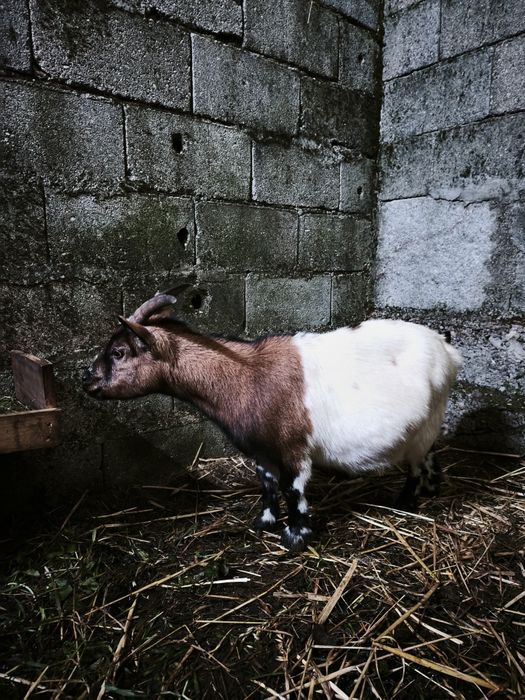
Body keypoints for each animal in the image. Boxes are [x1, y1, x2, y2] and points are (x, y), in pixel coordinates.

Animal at [82, 292, 462, 551]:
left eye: (118, 352)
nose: (86, 379)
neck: (247, 377)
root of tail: (446, 348)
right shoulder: (261, 449)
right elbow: (266, 483)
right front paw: (263, 521)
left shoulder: (292, 446)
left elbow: (293, 489)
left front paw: (296, 536)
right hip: (424, 427)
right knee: (429, 456)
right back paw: (432, 489)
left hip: (427, 421)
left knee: (417, 464)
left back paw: (407, 500)